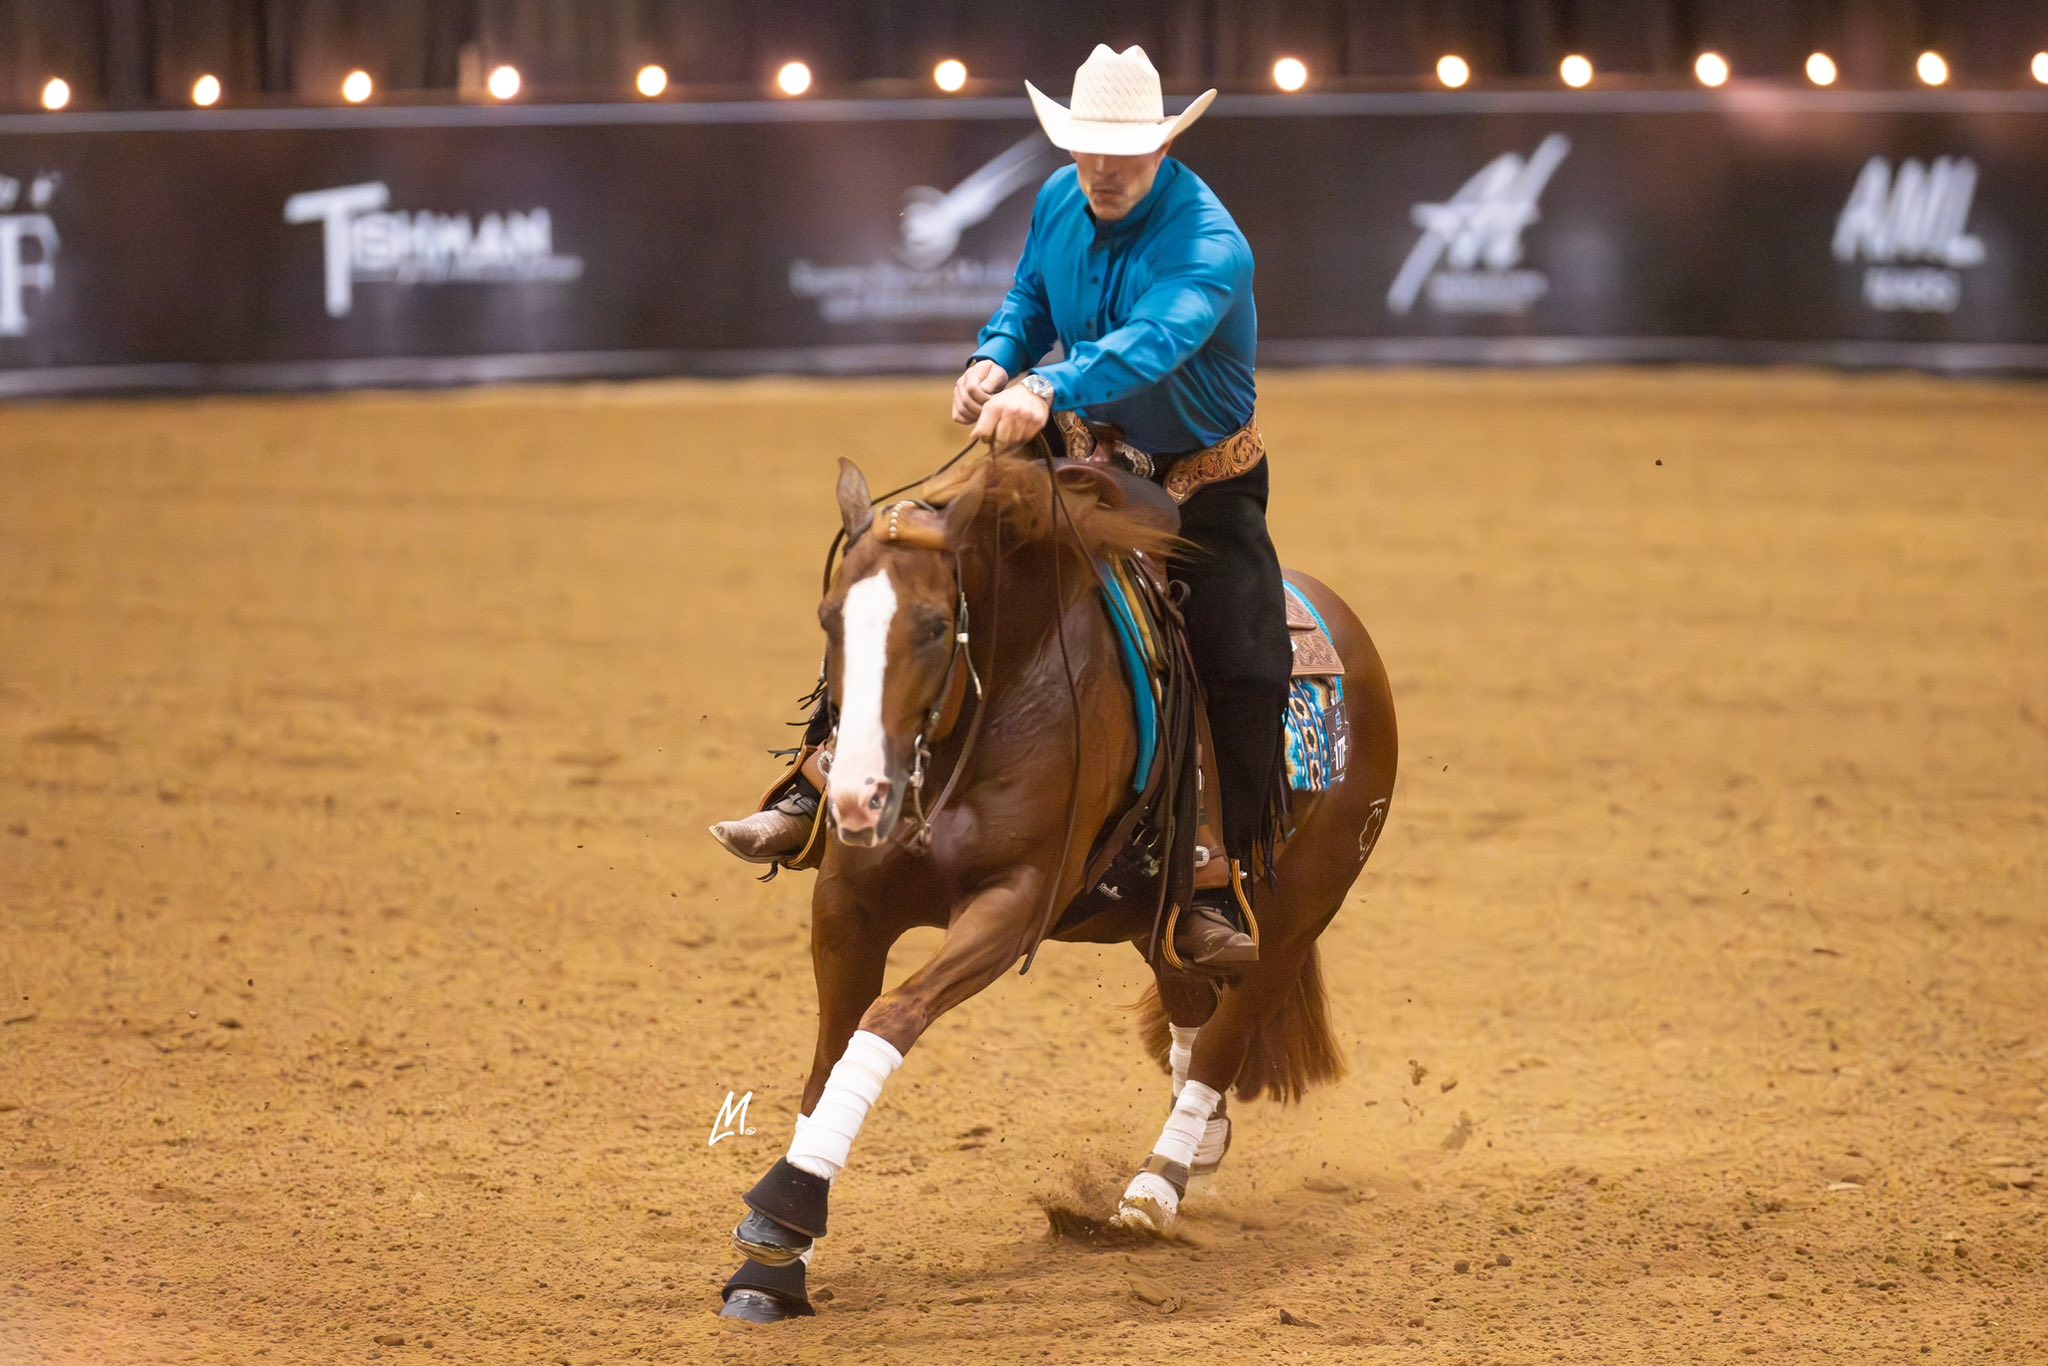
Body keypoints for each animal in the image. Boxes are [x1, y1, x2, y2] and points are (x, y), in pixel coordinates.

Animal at [718, 443, 1397, 1322]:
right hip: (1159, 922)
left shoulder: (1013, 905)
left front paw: (786, 1207)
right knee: (1192, 1010)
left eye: (933, 625)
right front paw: (776, 1261)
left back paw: (1154, 1192)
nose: (858, 796)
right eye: (831, 618)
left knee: (1225, 1036)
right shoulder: (848, 904)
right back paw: (1202, 1146)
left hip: (1292, 920)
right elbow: (830, 1055)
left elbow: (890, 1017)